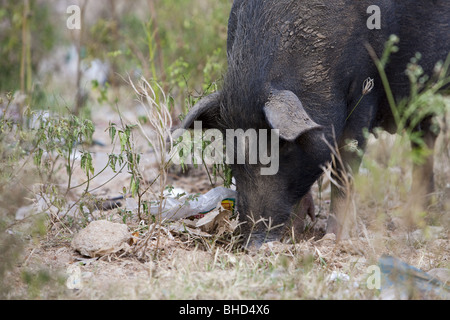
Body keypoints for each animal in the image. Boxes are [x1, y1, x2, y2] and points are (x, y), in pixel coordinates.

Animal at [178, 0, 448, 248]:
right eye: (231, 149)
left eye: (282, 146)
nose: (254, 244)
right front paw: (296, 231)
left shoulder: (366, 88)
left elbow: (344, 168)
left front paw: (333, 239)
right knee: (425, 138)